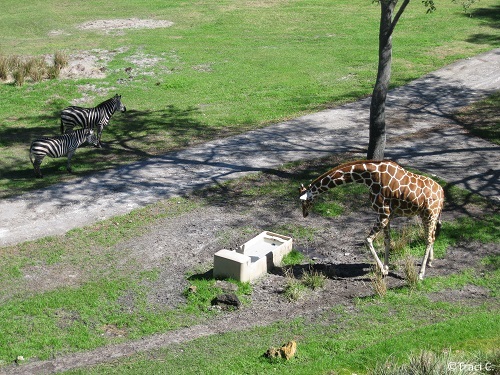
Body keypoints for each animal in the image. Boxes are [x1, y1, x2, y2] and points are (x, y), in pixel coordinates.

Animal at [298, 160, 444, 280]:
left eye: (305, 202)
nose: (304, 214)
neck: (369, 177)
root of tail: (442, 193)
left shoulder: (384, 213)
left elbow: (368, 239)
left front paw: (383, 271)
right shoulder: (388, 215)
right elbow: (387, 240)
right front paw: (386, 267)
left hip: (430, 214)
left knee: (429, 239)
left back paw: (420, 274)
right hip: (425, 215)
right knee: (431, 236)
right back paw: (430, 262)